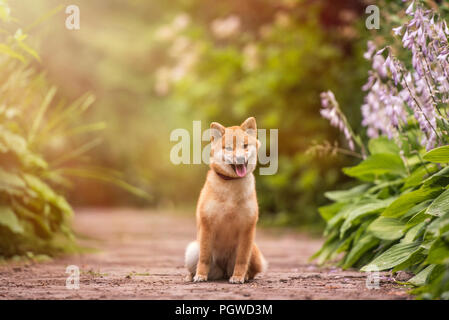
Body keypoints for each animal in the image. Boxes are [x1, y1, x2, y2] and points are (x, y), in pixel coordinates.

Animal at [185, 117, 266, 282]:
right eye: (228, 148)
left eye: (245, 146)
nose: (240, 158)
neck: (231, 186)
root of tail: (222, 271)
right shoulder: (207, 226)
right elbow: (204, 258)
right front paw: (200, 275)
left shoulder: (247, 229)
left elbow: (242, 259)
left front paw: (239, 277)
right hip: (193, 249)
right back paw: (191, 276)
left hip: (252, 250)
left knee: (251, 269)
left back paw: (244, 276)